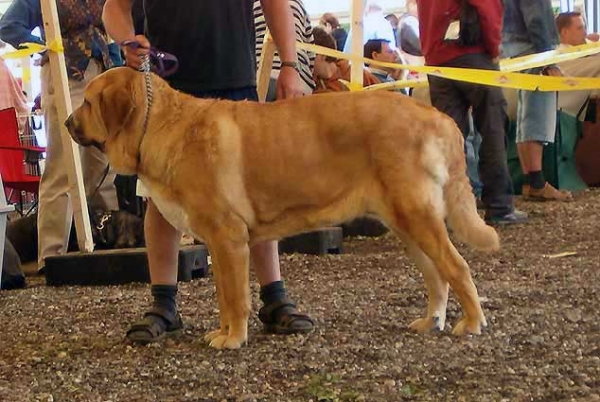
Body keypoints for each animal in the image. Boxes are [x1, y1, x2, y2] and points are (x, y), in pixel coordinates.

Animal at [65, 66, 500, 348]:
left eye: (87, 102)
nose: (67, 123)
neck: (158, 125)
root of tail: (436, 116)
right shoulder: (221, 245)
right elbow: (224, 294)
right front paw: (223, 332)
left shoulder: (228, 237)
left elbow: (236, 297)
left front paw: (233, 339)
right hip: (406, 225)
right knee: (437, 276)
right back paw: (431, 321)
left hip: (417, 217)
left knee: (457, 267)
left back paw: (471, 323)